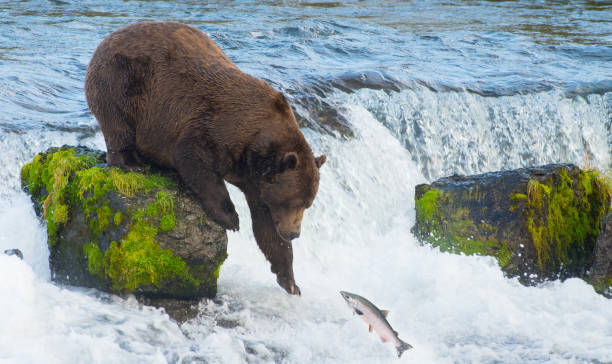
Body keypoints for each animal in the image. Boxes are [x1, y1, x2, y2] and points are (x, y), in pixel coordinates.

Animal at [85, 20, 330, 296]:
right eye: (294, 202)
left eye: (307, 204)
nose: (295, 233)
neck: (255, 150)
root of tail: (108, 37)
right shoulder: (217, 127)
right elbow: (194, 159)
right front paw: (231, 218)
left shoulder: (258, 183)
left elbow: (266, 227)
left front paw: (289, 280)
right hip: (124, 80)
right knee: (118, 122)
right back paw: (133, 163)